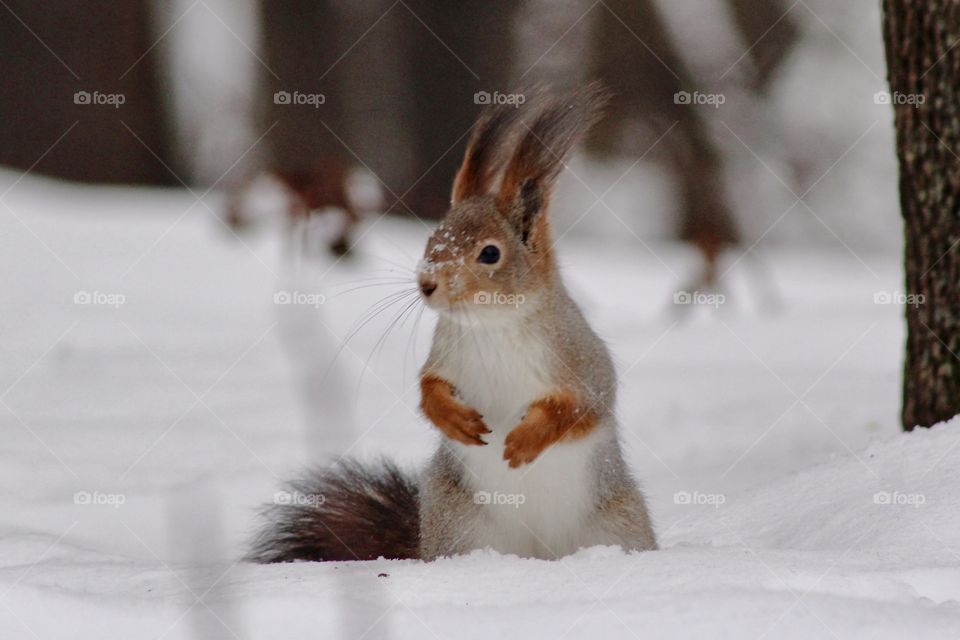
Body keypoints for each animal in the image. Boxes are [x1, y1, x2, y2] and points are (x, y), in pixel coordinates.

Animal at [246, 87, 660, 564]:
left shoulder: (579, 358)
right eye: (431, 239)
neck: (491, 324)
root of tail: (539, 555)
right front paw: (455, 420)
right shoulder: (444, 354)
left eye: (490, 254)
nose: (427, 283)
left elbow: (583, 406)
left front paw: (525, 440)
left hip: (617, 522)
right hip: (459, 522)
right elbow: (428, 389)